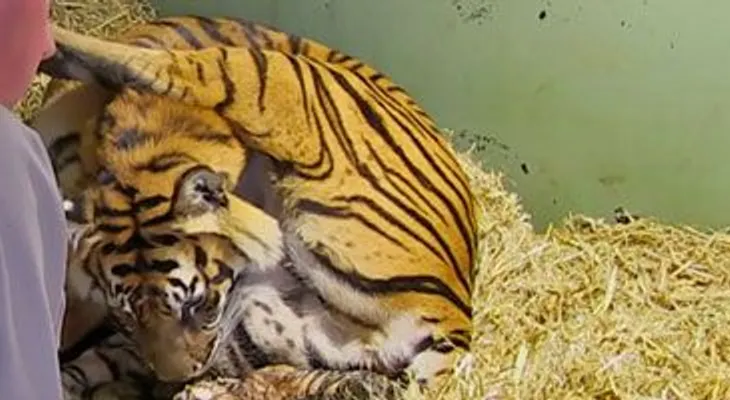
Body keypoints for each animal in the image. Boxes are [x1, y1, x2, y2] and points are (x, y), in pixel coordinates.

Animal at [33, 14, 478, 399]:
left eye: (199, 306)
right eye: (126, 317)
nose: (179, 377)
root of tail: (456, 314)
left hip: (282, 91)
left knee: (169, 68)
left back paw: (56, 44)